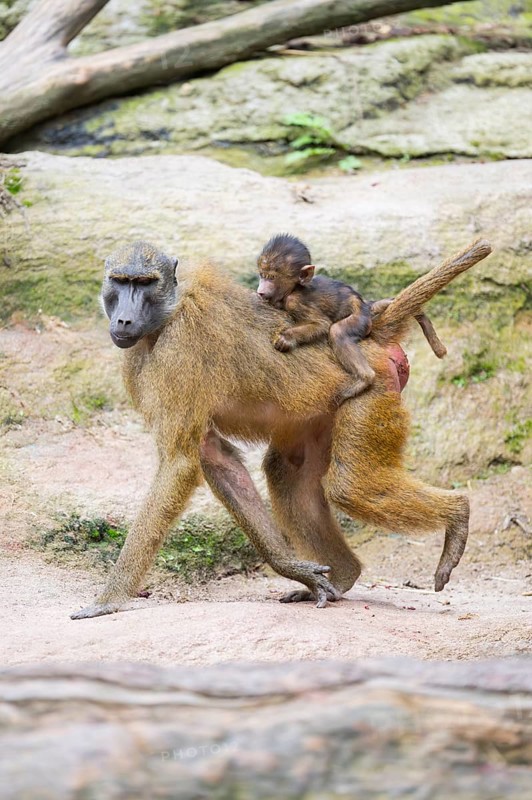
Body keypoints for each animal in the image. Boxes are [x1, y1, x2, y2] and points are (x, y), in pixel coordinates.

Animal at [257, 234, 447, 402]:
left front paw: (286, 338)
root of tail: (364, 307)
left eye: (271, 277)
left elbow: (321, 324)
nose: (260, 290)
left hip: (359, 320)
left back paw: (365, 378)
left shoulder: (295, 301)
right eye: (261, 275)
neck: (293, 289)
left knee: (337, 332)